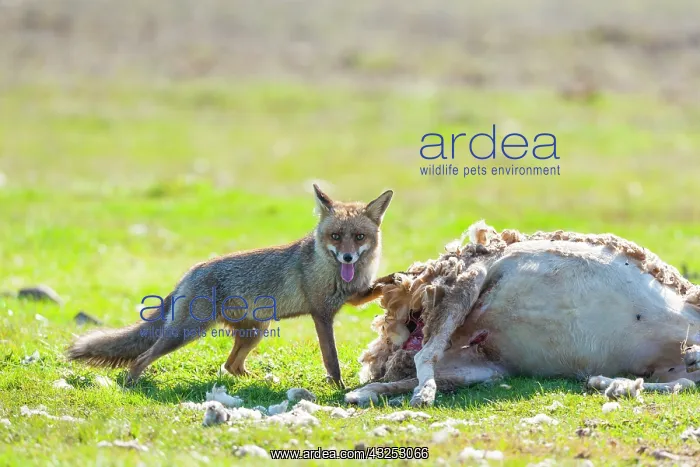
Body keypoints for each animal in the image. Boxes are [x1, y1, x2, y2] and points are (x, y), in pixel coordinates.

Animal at [66, 184, 393, 388]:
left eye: (359, 237)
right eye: (336, 236)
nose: (348, 257)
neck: (337, 273)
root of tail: (189, 273)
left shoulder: (353, 297)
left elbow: (378, 286)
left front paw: (398, 280)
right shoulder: (321, 314)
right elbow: (331, 359)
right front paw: (338, 387)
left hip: (254, 332)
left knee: (230, 365)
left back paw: (256, 381)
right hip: (186, 333)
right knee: (142, 358)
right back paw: (132, 384)